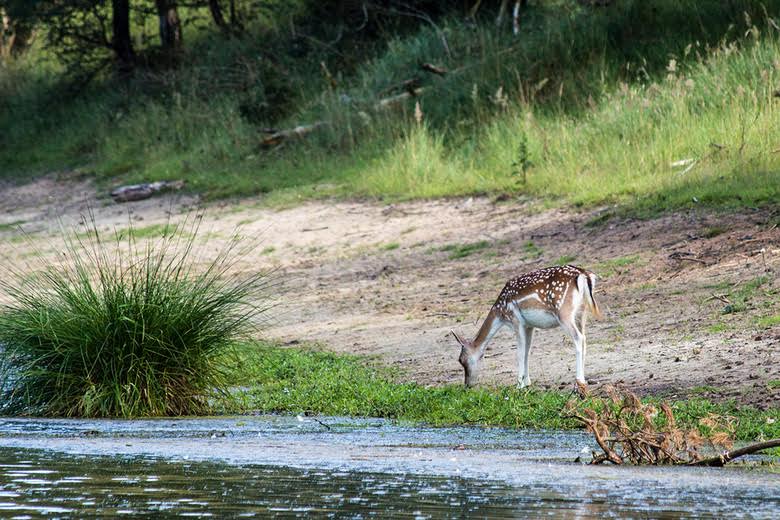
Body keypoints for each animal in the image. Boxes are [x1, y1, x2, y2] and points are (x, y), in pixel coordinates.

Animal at [450, 264, 604, 394]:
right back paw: (583, 382)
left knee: (578, 338)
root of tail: (584, 275)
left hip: (564, 313)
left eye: (461, 360)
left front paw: (519, 385)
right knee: (584, 339)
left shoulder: (515, 319)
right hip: (582, 312)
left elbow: (519, 353)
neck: (500, 313)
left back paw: (579, 384)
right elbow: (527, 352)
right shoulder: (529, 326)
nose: (467, 385)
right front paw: (527, 382)